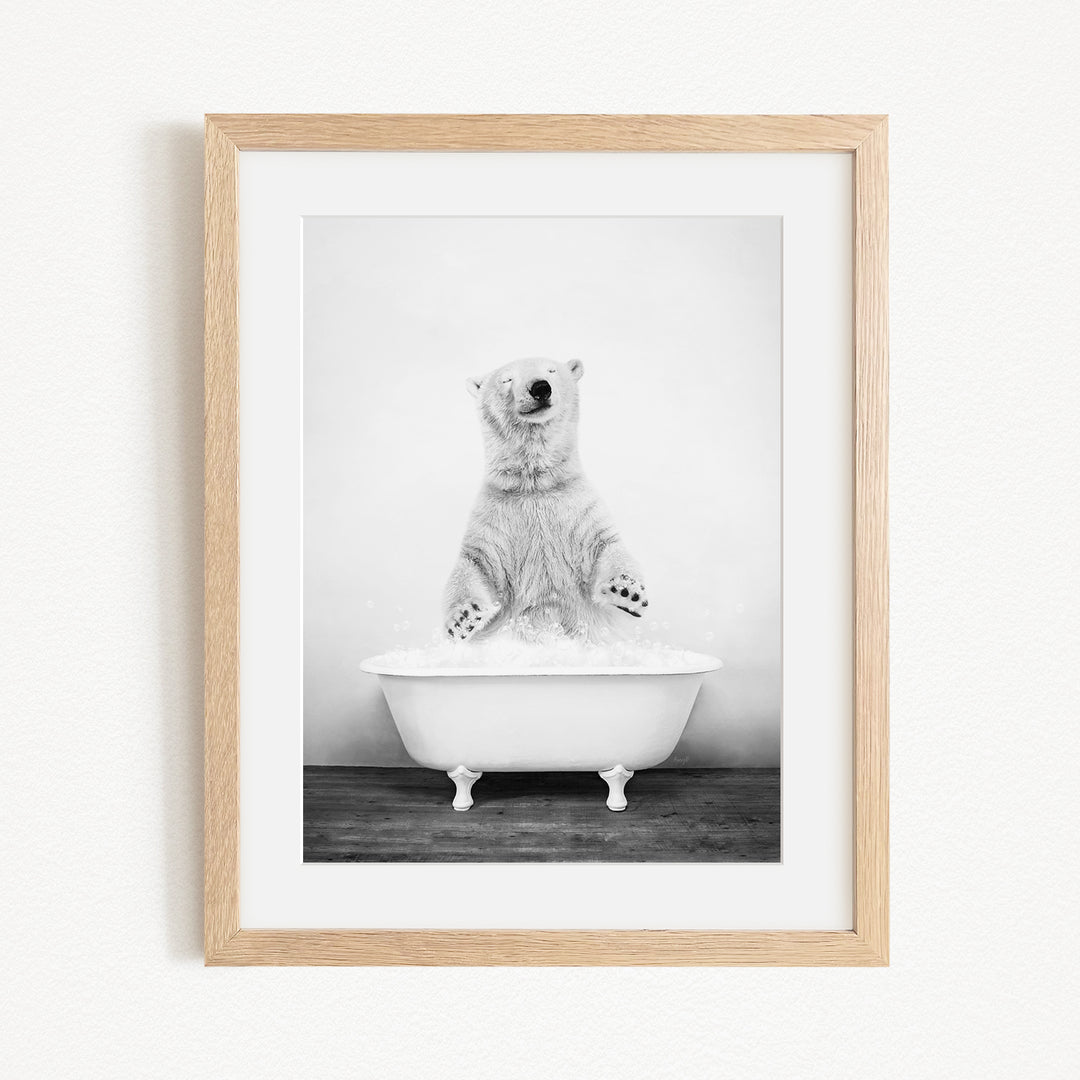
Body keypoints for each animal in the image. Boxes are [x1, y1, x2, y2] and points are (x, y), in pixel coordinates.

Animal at [444, 357, 647, 641]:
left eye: (551, 370)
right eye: (507, 379)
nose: (540, 387)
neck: (535, 484)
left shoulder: (578, 507)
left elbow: (606, 545)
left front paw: (626, 590)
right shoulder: (495, 518)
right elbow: (475, 564)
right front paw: (464, 618)